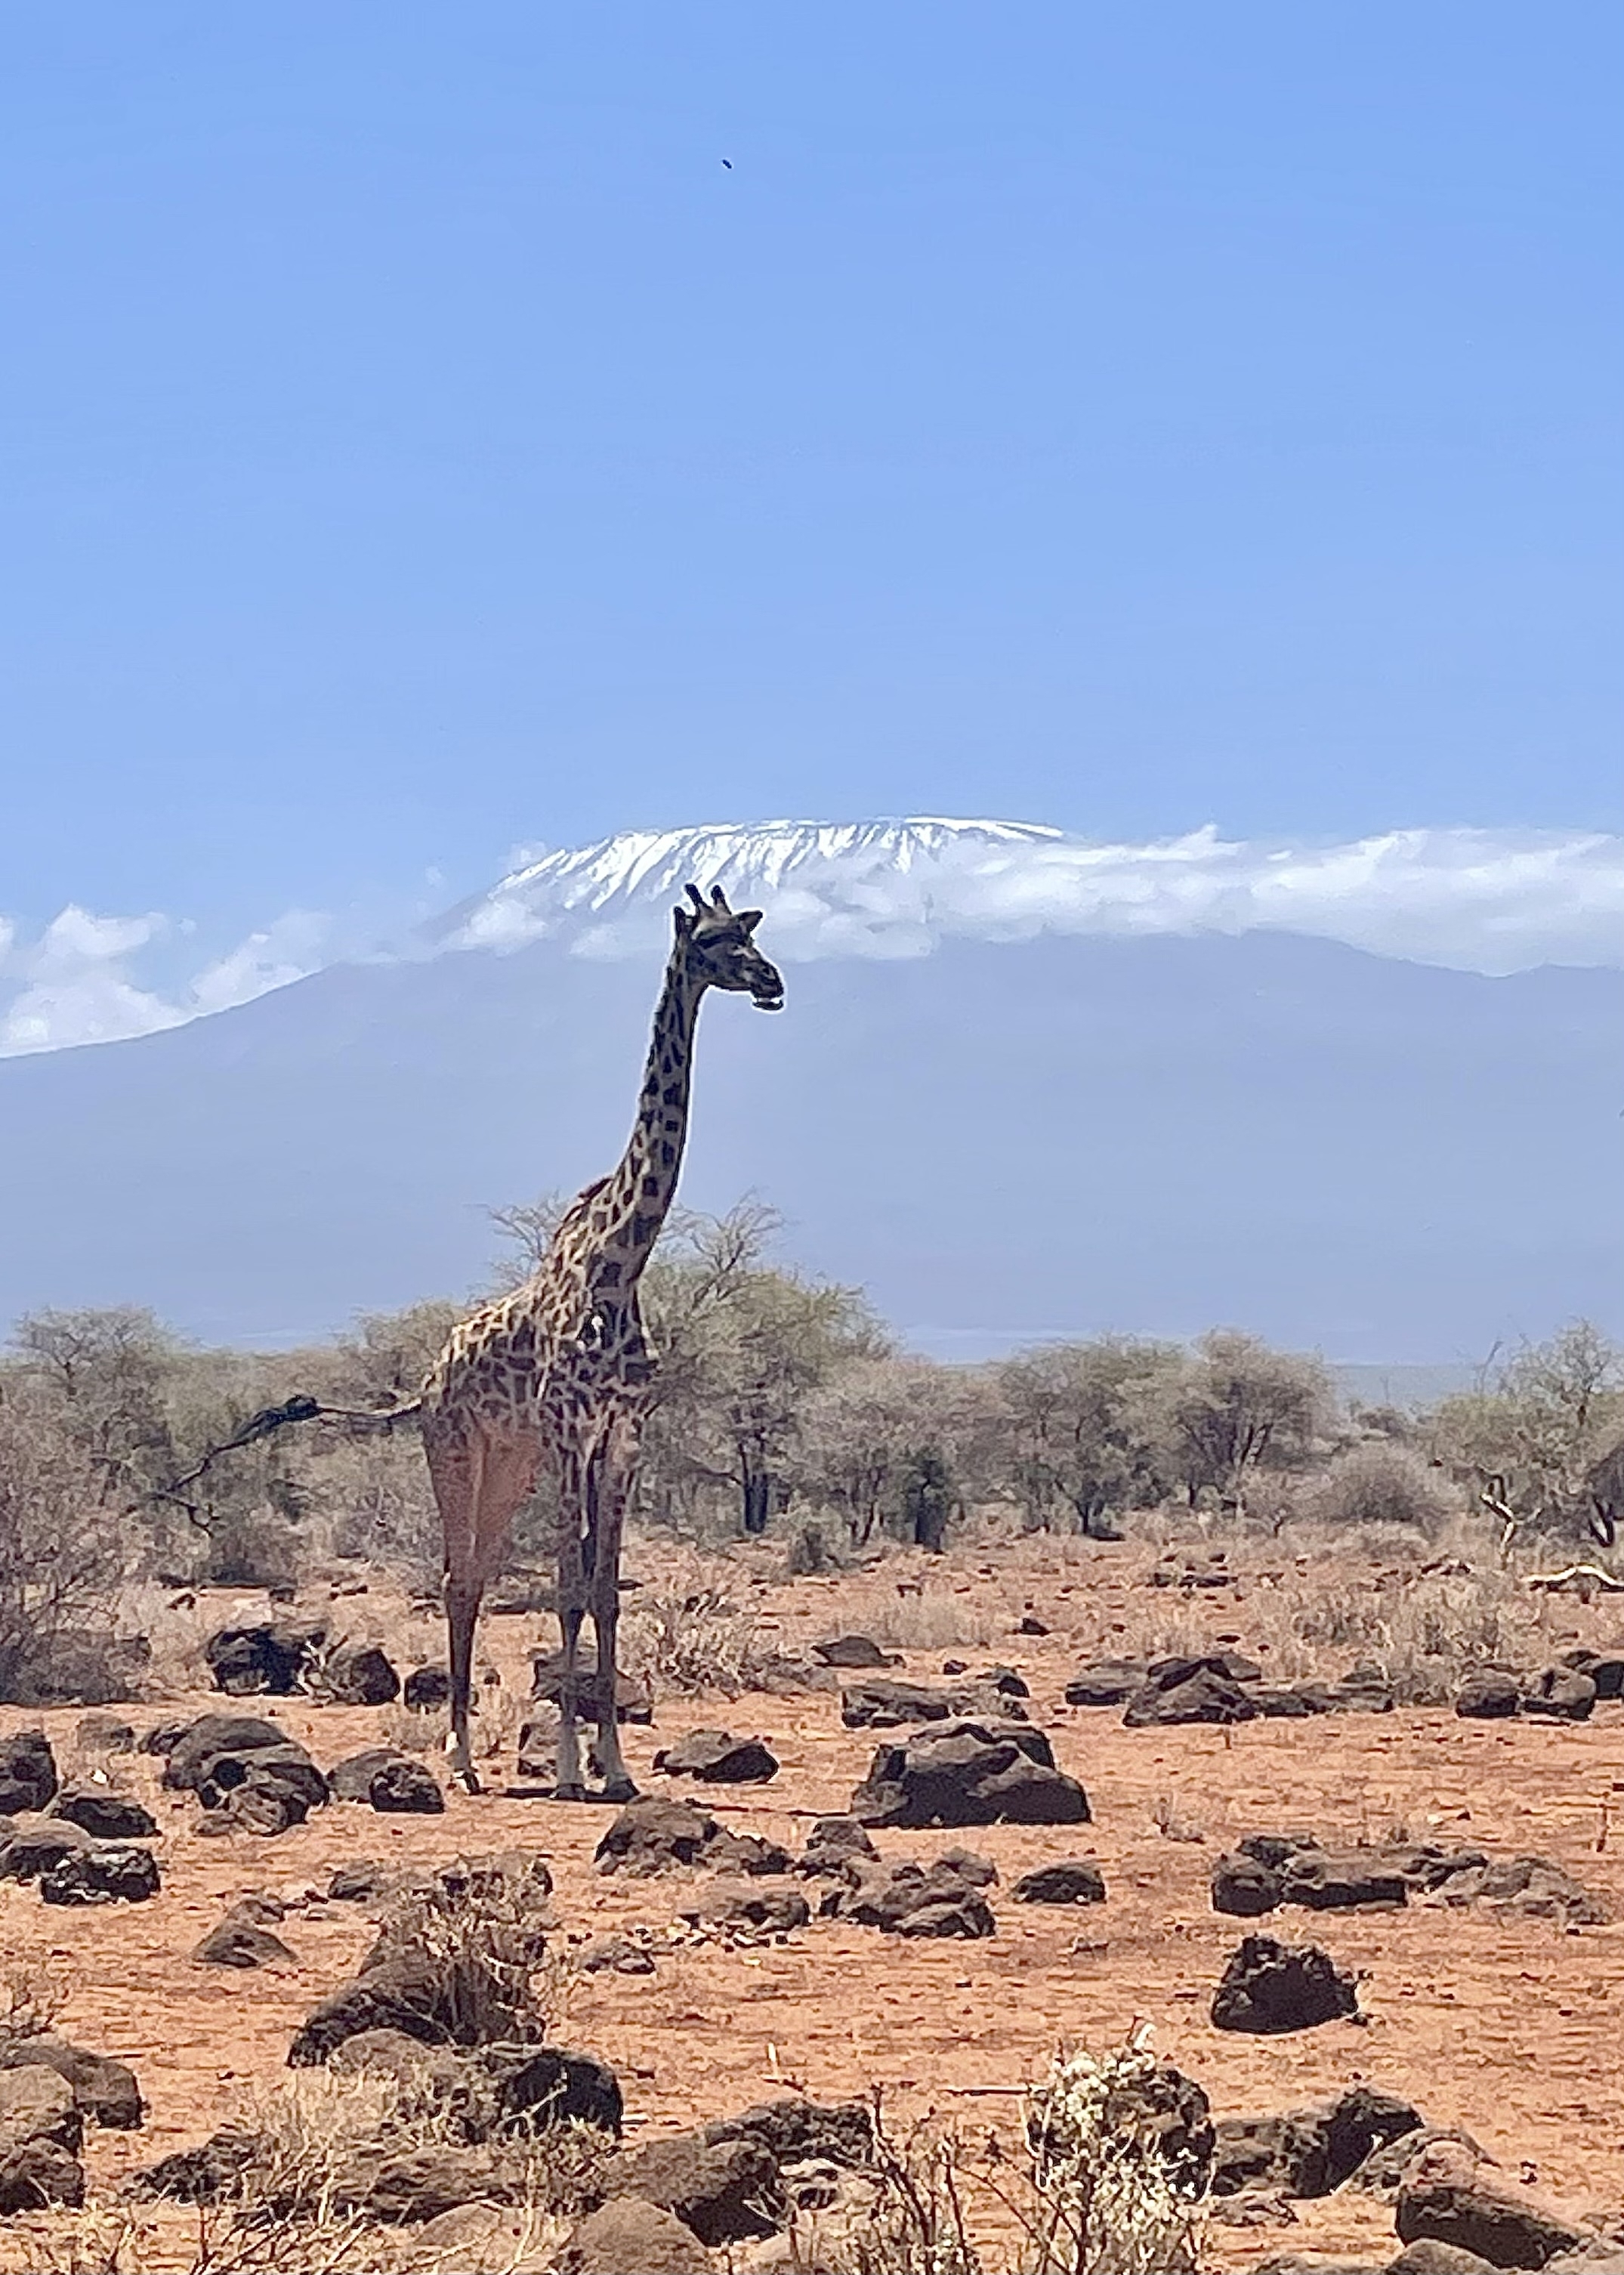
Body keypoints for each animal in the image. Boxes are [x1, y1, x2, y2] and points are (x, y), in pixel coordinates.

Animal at [420, 882, 784, 1797]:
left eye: (751, 932)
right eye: (713, 941)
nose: (772, 980)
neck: (620, 1265)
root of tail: (431, 1371)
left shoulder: (621, 1435)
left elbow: (606, 1588)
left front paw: (614, 1763)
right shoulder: (567, 1433)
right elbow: (566, 1589)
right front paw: (564, 1766)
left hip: (507, 1461)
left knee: (477, 1572)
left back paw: (473, 1753)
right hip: (454, 1448)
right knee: (455, 1575)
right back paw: (460, 1755)